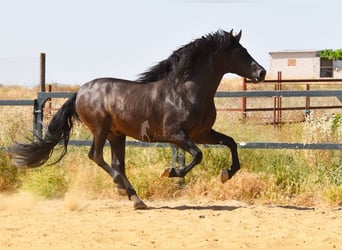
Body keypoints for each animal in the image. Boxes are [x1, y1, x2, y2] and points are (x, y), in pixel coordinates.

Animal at [8, 29, 266, 209]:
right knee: (96, 156)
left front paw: (226, 174)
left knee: (116, 164)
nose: (261, 72)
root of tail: (80, 91)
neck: (187, 91)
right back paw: (123, 189)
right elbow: (197, 155)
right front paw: (171, 172)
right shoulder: (175, 135)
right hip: (101, 130)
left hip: (116, 135)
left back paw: (134, 198)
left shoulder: (202, 134)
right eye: (240, 52)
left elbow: (231, 143)